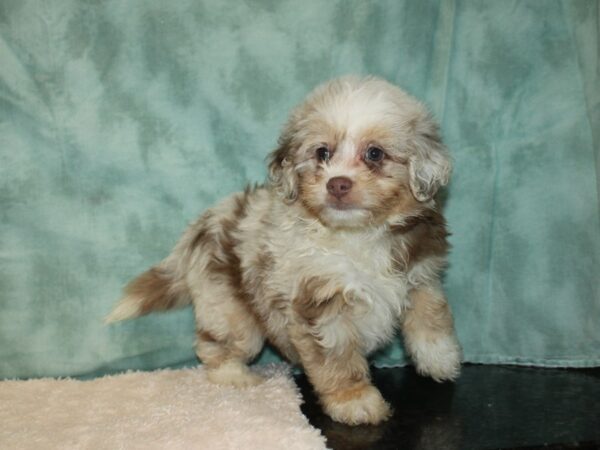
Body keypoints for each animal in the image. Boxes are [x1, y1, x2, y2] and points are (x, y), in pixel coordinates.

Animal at [106, 76, 460, 426]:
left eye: (375, 153)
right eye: (322, 153)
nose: (338, 183)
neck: (358, 235)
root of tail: (201, 225)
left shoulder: (421, 273)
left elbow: (431, 315)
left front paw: (440, 358)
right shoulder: (320, 303)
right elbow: (337, 358)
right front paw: (354, 401)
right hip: (229, 308)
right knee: (214, 344)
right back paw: (235, 376)